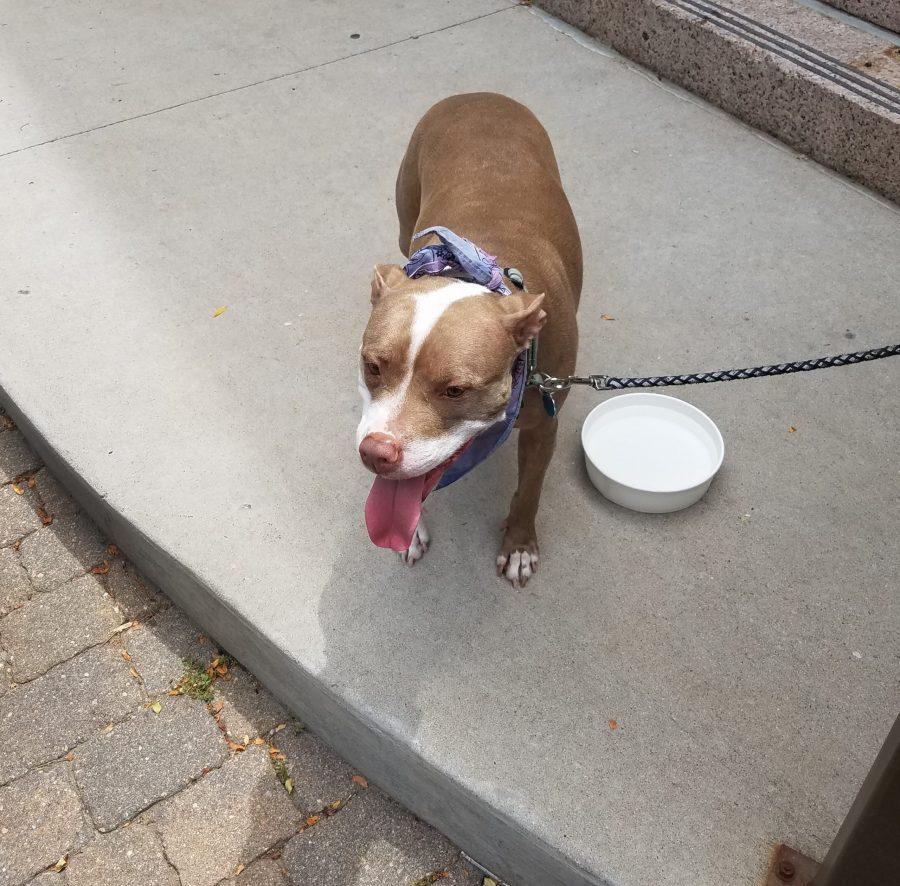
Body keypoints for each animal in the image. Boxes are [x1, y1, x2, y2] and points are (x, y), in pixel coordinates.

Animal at [358, 93, 584, 588]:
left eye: (456, 390)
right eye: (372, 366)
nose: (375, 453)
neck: (472, 273)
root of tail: (481, 94)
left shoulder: (544, 424)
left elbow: (529, 490)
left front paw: (519, 547)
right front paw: (412, 532)